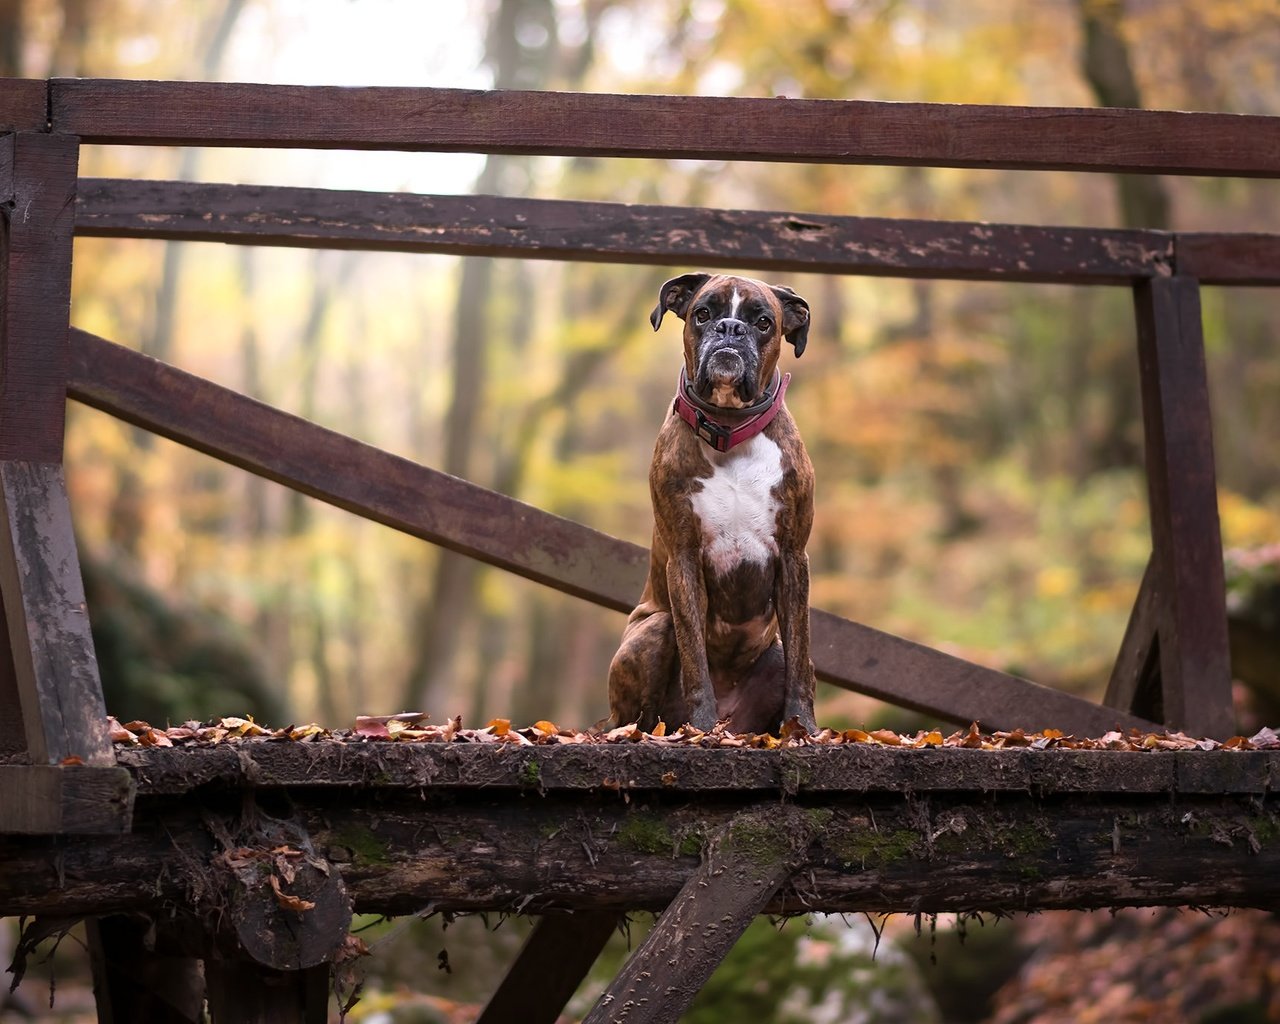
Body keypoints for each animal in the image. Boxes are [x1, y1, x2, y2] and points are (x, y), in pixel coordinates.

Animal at [609, 271, 819, 737]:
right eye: (703, 314)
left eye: (763, 322)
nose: (730, 329)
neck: (729, 430)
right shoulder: (684, 559)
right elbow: (694, 659)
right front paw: (700, 727)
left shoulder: (793, 558)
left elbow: (801, 657)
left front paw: (806, 728)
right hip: (654, 629)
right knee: (636, 715)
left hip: (773, 653)